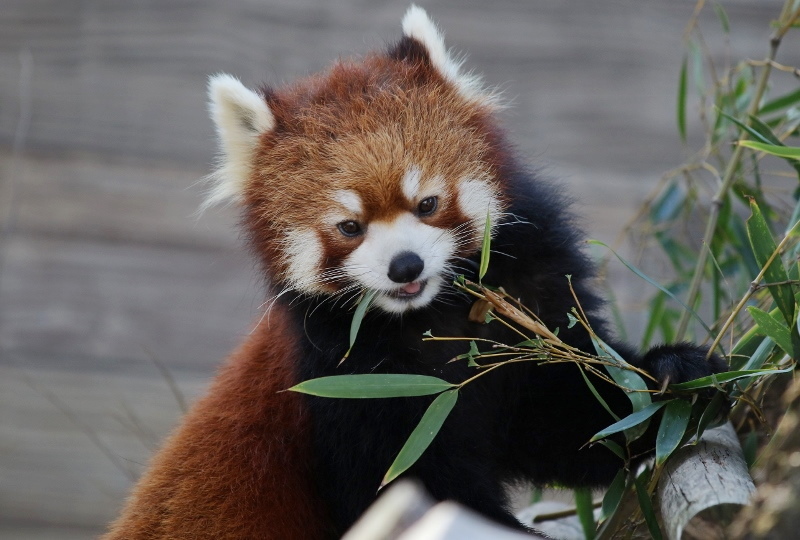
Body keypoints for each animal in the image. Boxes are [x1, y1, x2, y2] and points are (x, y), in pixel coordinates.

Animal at [103, 6, 728, 536]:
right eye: (349, 226)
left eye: (427, 203)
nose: (405, 264)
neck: (436, 316)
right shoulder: (346, 380)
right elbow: (415, 486)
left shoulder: (528, 303)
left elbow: (572, 413)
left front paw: (673, 377)